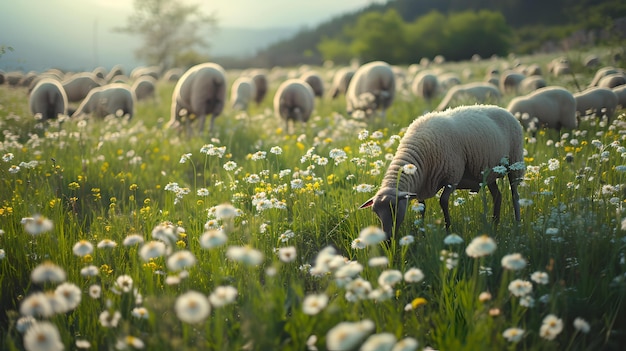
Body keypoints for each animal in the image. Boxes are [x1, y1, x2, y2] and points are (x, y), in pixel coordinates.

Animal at [358, 104, 524, 236]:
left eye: (395, 208)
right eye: (375, 212)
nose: (387, 239)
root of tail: (504, 109)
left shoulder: (452, 177)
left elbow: (443, 201)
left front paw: (448, 229)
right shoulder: (422, 187)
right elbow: (422, 208)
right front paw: (421, 233)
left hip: (515, 162)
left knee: (515, 195)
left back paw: (517, 223)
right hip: (490, 172)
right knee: (498, 196)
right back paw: (495, 224)